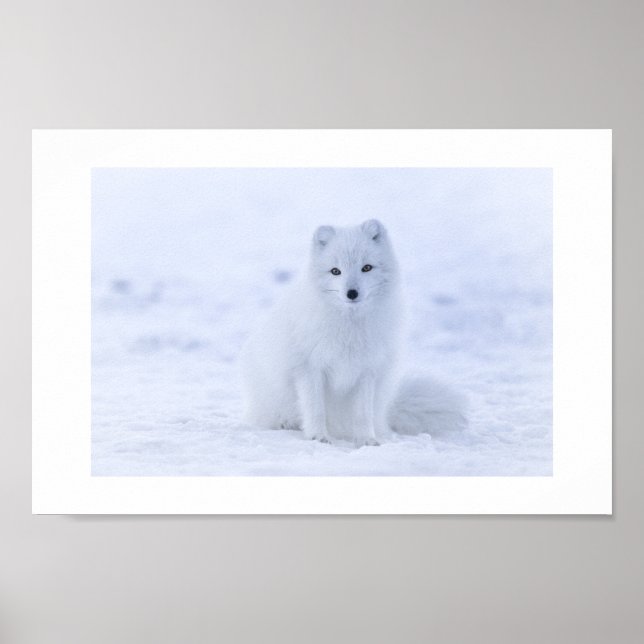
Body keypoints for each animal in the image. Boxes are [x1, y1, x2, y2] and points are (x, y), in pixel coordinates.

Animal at [240, 219, 467, 447]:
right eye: (335, 271)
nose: (351, 293)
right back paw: (287, 424)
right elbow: (316, 409)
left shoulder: (367, 370)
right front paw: (318, 437)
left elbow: (362, 414)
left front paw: (367, 440)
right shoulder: (309, 368)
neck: (350, 327)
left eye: (366, 268)